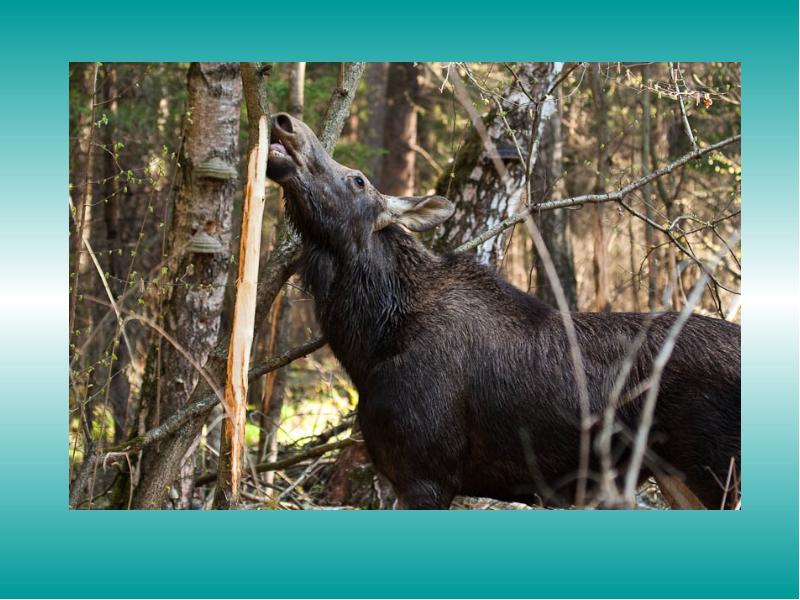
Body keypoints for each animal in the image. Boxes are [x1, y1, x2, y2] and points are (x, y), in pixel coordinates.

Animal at [268, 110, 744, 508]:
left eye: (358, 180)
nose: (285, 122)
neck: (370, 341)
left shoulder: (427, 474)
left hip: (716, 471)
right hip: (678, 478)